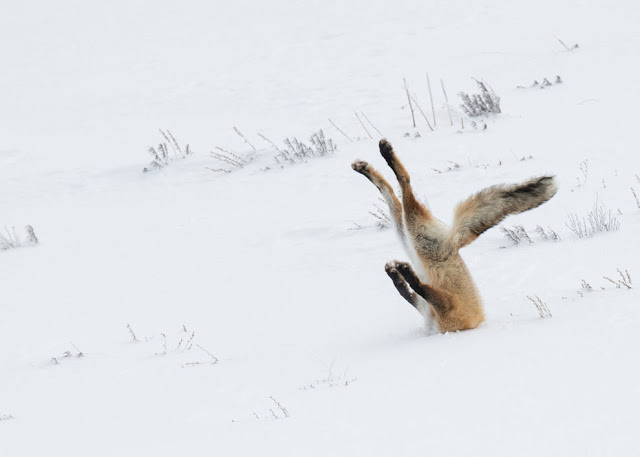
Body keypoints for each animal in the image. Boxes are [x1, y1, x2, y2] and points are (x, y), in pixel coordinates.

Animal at [352, 138, 556, 332]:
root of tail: (454, 241)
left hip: (415, 235)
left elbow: (416, 288)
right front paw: (397, 273)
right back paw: (367, 166)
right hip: (409, 236)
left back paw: (384, 155)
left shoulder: (445, 308)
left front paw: (403, 272)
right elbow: (407, 291)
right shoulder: (429, 307)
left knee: (404, 182)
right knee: (390, 190)